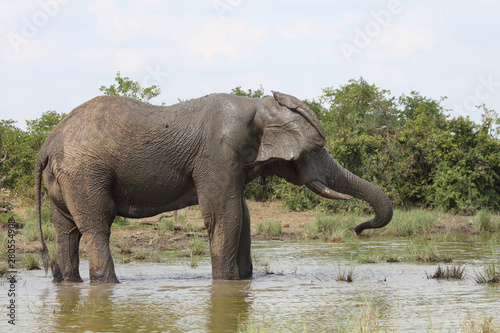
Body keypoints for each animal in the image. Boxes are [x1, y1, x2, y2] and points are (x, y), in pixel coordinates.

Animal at [36, 91, 394, 282]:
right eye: (316, 149)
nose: (358, 229)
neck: (257, 107)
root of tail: (49, 141)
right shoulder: (217, 153)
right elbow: (227, 216)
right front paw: (224, 283)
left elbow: (243, 216)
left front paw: (244, 281)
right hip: (85, 172)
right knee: (96, 227)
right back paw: (107, 284)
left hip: (65, 177)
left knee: (66, 230)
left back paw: (69, 282)